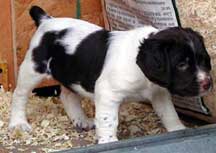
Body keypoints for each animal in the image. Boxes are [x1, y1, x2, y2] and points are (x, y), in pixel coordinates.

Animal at [9, 5, 212, 143]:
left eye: (204, 60)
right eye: (182, 64)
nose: (207, 83)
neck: (142, 73)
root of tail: (46, 19)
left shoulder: (158, 93)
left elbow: (169, 113)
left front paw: (178, 129)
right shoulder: (107, 93)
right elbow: (108, 120)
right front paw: (108, 141)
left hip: (71, 72)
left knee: (67, 95)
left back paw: (81, 120)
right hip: (33, 68)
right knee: (19, 95)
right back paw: (18, 123)